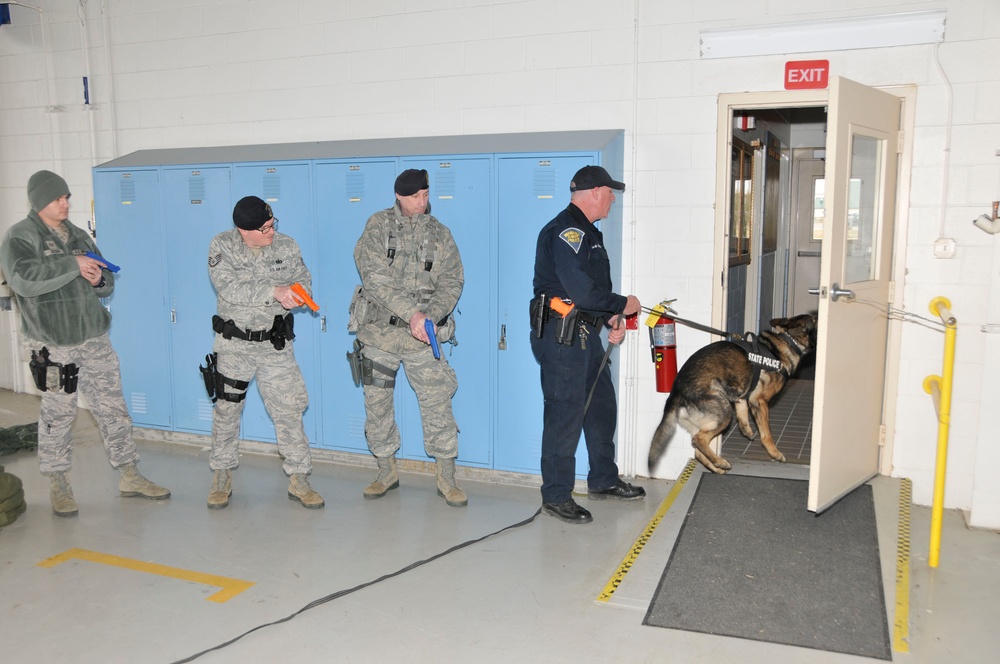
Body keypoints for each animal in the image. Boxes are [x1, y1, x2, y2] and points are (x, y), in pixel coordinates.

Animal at [648, 314, 820, 474]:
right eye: (816, 320)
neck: (789, 341)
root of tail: (677, 391)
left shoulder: (742, 395)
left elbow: (743, 413)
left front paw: (746, 430)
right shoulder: (759, 401)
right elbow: (766, 434)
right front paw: (775, 453)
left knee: (698, 452)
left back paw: (717, 467)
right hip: (724, 412)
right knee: (698, 440)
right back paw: (721, 462)